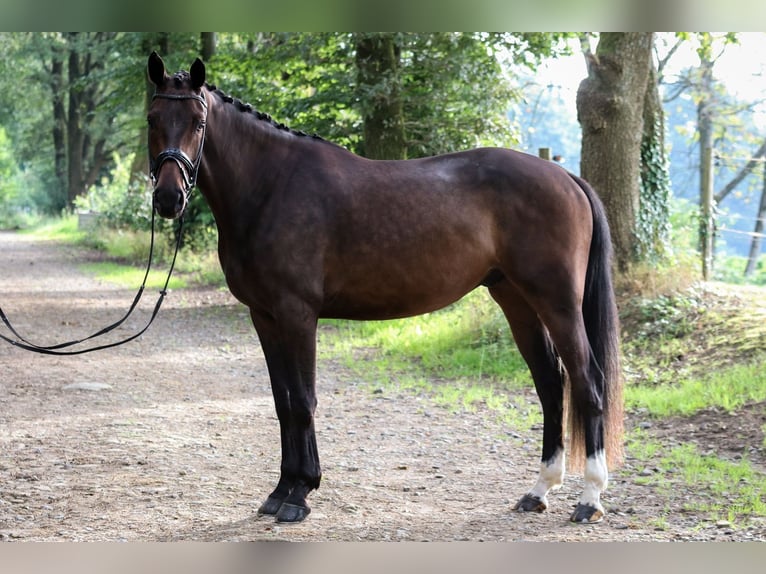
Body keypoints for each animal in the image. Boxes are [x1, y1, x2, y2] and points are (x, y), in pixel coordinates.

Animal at [146, 53, 624, 528]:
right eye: (152, 118)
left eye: (198, 122)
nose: (168, 198)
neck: (271, 185)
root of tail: (565, 176)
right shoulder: (263, 316)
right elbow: (283, 404)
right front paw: (280, 491)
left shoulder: (297, 314)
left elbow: (303, 401)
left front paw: (299, 495)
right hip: (516, 300)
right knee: (550, 384)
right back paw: (538, 491)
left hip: (557, 303)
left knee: (588, 382)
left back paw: (590, 498)